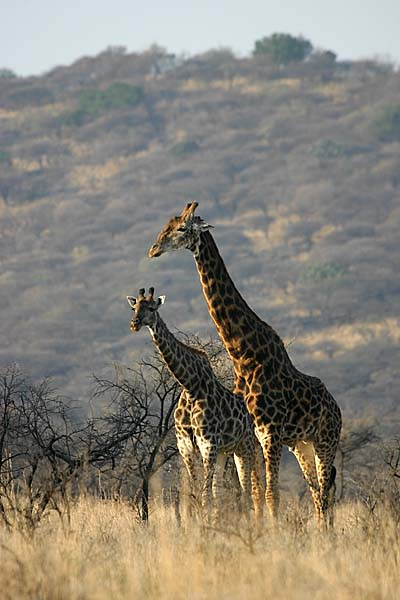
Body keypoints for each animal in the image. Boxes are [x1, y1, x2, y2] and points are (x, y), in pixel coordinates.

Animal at [126, 288, 262, 524]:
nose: (134, 324)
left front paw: (205, 525)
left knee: (245, 491)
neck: (190, 386)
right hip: (225, 451)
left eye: (151, 308)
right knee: (220, 490)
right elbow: (194, 491)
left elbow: (205, 494)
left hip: (244, 447)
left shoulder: (208, 443)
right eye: (134, 308)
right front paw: (196, 523)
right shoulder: (185, 445)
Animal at [148, 202, 342, 524]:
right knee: (316, 491)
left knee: (325, 491)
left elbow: (270, 494)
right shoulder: (251, 435)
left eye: (181, 228)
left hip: (326, 440)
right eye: (166, 224)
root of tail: (338, 409)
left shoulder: (269, 433)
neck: (244, 356)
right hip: (300, 444)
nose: (153, 249)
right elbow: (252, 493)